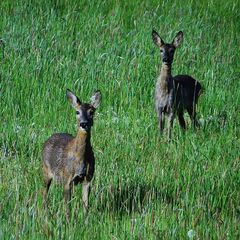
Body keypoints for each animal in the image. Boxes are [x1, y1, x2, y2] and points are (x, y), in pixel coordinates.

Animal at [41, 88, 101, 219]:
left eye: (91, 112)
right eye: (77, 112)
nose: (83, 123)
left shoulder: (88, 178)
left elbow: (86, 204)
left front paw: (85, 220)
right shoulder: (67, 178)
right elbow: (67, 205)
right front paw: (68, 221)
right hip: (46, 170)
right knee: (44, 192)